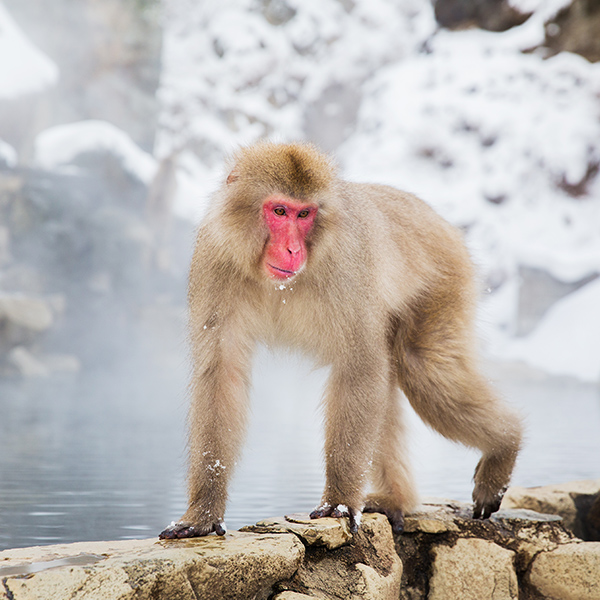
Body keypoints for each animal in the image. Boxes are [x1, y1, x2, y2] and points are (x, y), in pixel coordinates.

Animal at [158, 142, 520, 540]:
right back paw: (396, 498)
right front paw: (203, 513)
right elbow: (221, 374)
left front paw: (340, 502)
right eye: (280, 211)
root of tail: (439, 219)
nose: (293, 250)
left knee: (421, 369)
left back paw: (505, 445)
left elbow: (359, 367)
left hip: (445, 280)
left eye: (305, 214)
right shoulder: (216, 260)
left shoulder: (346, 266)